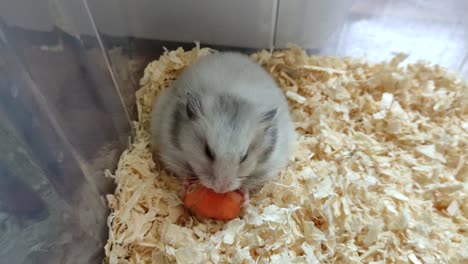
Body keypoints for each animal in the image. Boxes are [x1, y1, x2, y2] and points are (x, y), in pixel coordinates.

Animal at [151, 51, 296, 200]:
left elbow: (248, 185)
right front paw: (186, 186)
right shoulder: (172, 152)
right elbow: (184, 172)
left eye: (244, 157)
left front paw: (245, 199)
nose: (220, 189)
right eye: (208, 152)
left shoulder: (267, 168)